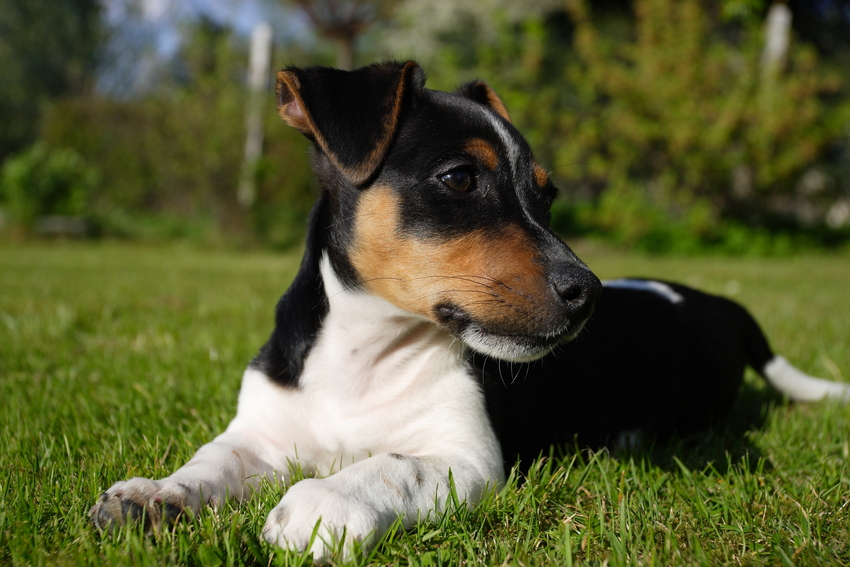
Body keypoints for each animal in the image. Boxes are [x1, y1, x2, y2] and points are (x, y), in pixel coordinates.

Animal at [88, 62, 848, 564]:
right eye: (459, 178)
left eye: (547, 195)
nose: (589, 291)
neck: (364, 352)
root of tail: (718, 301)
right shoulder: (260, 434)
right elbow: (208, 462)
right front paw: (151, 495)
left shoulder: (466, 457)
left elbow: (390, 464)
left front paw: (323, 502)